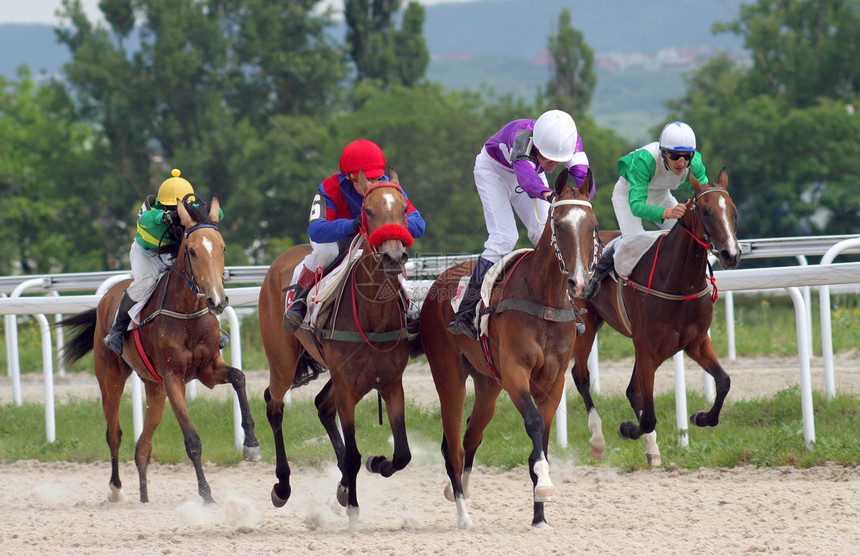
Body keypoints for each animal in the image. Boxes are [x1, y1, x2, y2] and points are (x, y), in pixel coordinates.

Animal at [58, 198, 258, 506]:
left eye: (222, 247)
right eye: (191, 250)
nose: (218, 300)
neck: (187, 314)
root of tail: (107, 297)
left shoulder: (208, 369)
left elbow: (239, 378)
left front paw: (251, 444)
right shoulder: (173, 378)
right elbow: (192, 440)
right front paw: (206, 493)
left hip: (154, 387)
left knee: (143, 445)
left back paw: (144, 495)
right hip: (111, 377)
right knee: (114, 432)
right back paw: (115, 488)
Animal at [256, 172, 414, 532]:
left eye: (403, 208)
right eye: (367, 211)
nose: (393, 256)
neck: (374, 313)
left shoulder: (390, 383)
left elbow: (401, 454)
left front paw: (376, 463)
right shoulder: (347, 386)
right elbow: (354, 453)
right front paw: (354, 509)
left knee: (321, 405)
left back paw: (342, 485)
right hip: (283, 363)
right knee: (274, 404)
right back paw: (282, 486)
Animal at [420, 170, 600, 528]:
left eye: (592, 225)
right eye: (559, 225)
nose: (579, 283)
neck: (545, 300)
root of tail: (435, 284)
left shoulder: (553, 380)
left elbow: (542, 438)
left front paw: (540, 516)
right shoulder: (516, 372)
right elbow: (533, 423)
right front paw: (545, 485)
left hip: (488, 384)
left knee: (471, 436)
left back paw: (461, 490)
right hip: (449, 376)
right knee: (454, 448)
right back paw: (463, 514)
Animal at [572, 168, 740, 464]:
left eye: (734, 212)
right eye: (706, 212)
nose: (731, 254)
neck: (678, 282)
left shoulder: (695, 342)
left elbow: (723, 382)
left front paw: (701, 417)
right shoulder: (648, 347)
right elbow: (648, 416)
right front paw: (628, 428)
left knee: (631, 389)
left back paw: (651, 448)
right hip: (587, 326)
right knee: (581, 376)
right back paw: (598, 440)